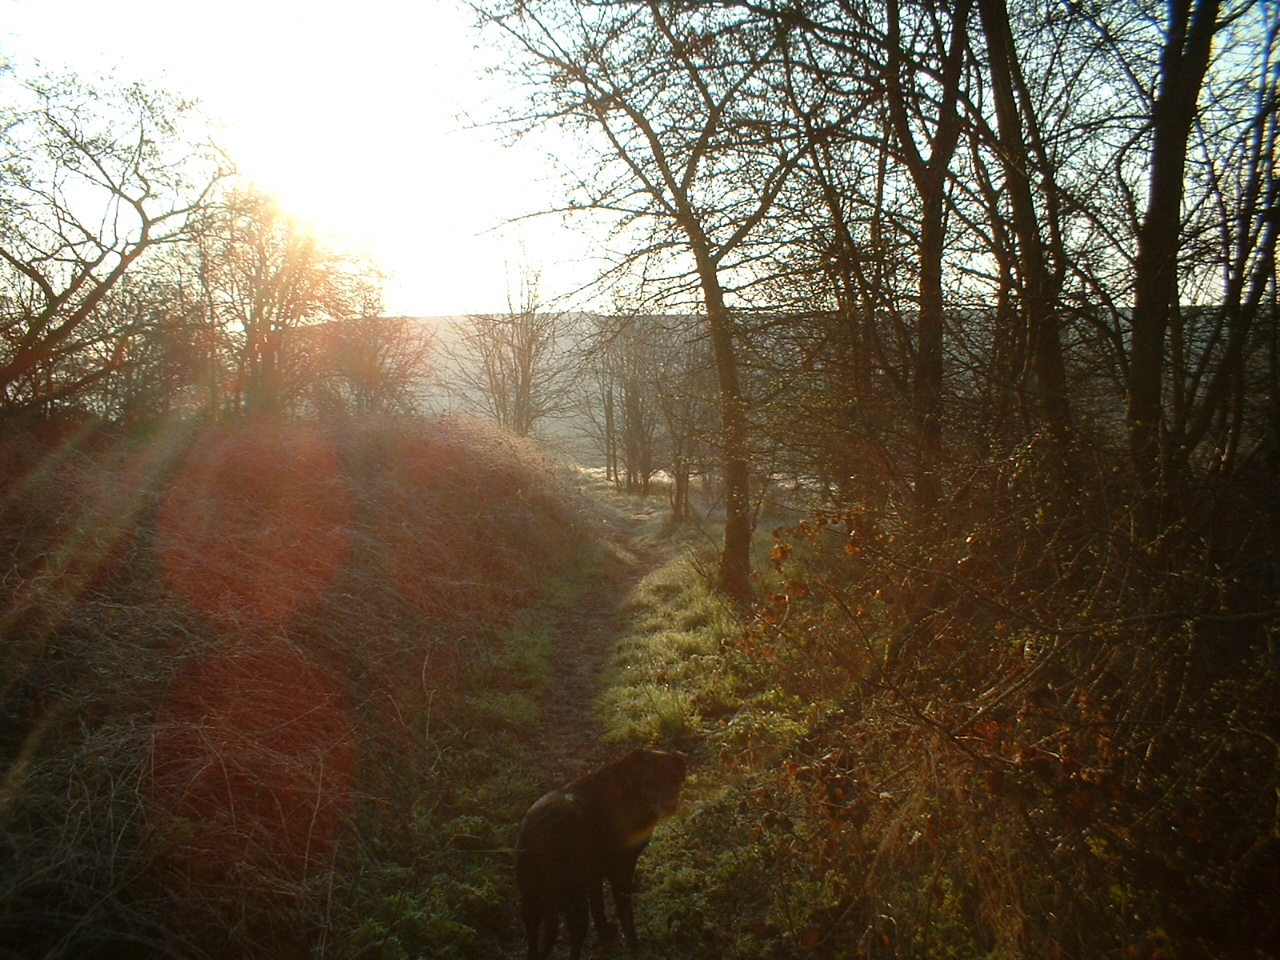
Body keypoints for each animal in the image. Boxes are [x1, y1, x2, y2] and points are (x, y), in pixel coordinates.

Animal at [514, 752, 686, 960]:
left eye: (674, 779)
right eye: (650, 780)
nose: (670, 805)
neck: (629, 787)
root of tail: (541, 837)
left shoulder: (594, 875)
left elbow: (598, 905)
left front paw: (604, 933)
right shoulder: (621, 872)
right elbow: (625, 914)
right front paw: (634, 946)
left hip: (531, 903)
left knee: (533, 944)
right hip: (574, 903)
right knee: (575, 943)